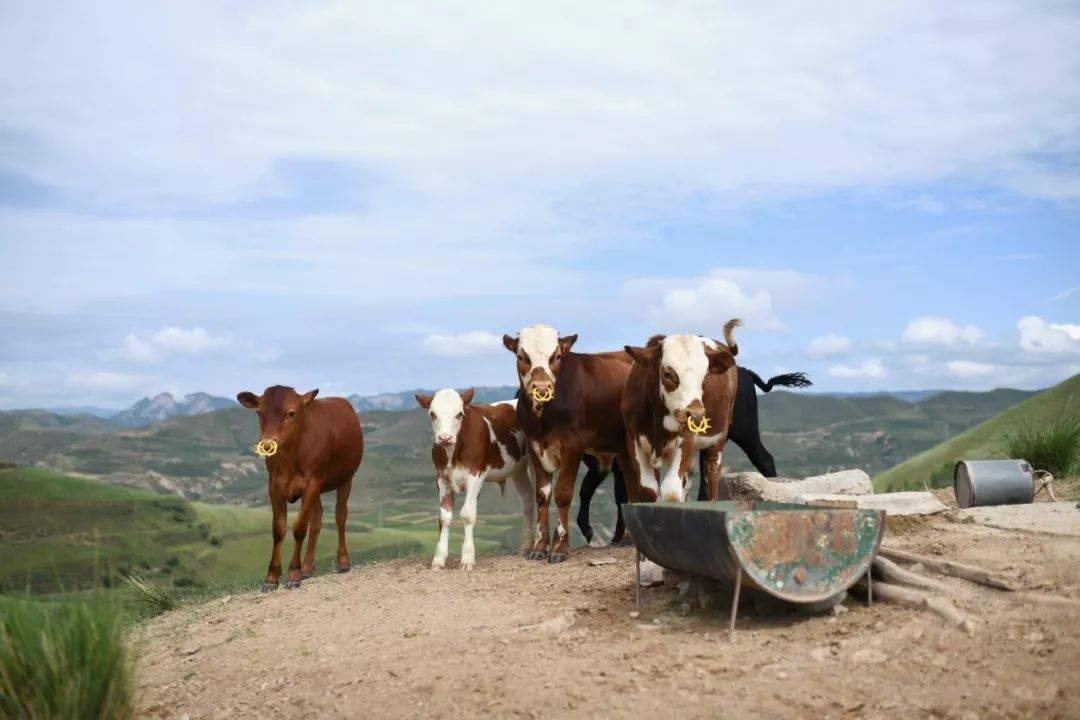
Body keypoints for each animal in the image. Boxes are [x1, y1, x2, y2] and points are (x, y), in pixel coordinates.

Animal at [235, 386, 362, 595]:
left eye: (291, 413)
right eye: (259, 412)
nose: (267, 444)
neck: (290, 458)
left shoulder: (312, 482)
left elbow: (300, 527)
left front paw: (293, 574)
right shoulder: (274, 486)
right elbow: (279, 529)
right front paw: (272, 578)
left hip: (346, 478)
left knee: (340, 515)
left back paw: (343, 561)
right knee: (317, 518)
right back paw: (307, 567)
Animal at [412, 388, 535, 569]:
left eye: (459, 414)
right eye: (432, 414)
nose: (445, 437)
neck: (453, 453)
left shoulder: (475, 476)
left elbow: (467, 514)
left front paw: (467, 558)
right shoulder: (442, 479)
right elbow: (444, 518)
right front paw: (439, 559)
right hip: (517, 468)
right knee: (527, 498)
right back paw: (526, 546)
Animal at [501, 325, 635, 561]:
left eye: (556, 356)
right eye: (521, 356)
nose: (541, 388)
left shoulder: (573, 447)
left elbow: (563, 493)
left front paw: (560, 547)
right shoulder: (535, 448)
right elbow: (542, 495)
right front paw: (539, 547)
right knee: (626, 485)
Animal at [622, 321, 738, 507]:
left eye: (705, 375)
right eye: (667, 373)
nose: (696, 414)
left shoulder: (686, 440)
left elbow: (671, 491)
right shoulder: (633, 441)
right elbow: (648, 490)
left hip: (719, 438)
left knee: (712, 471)